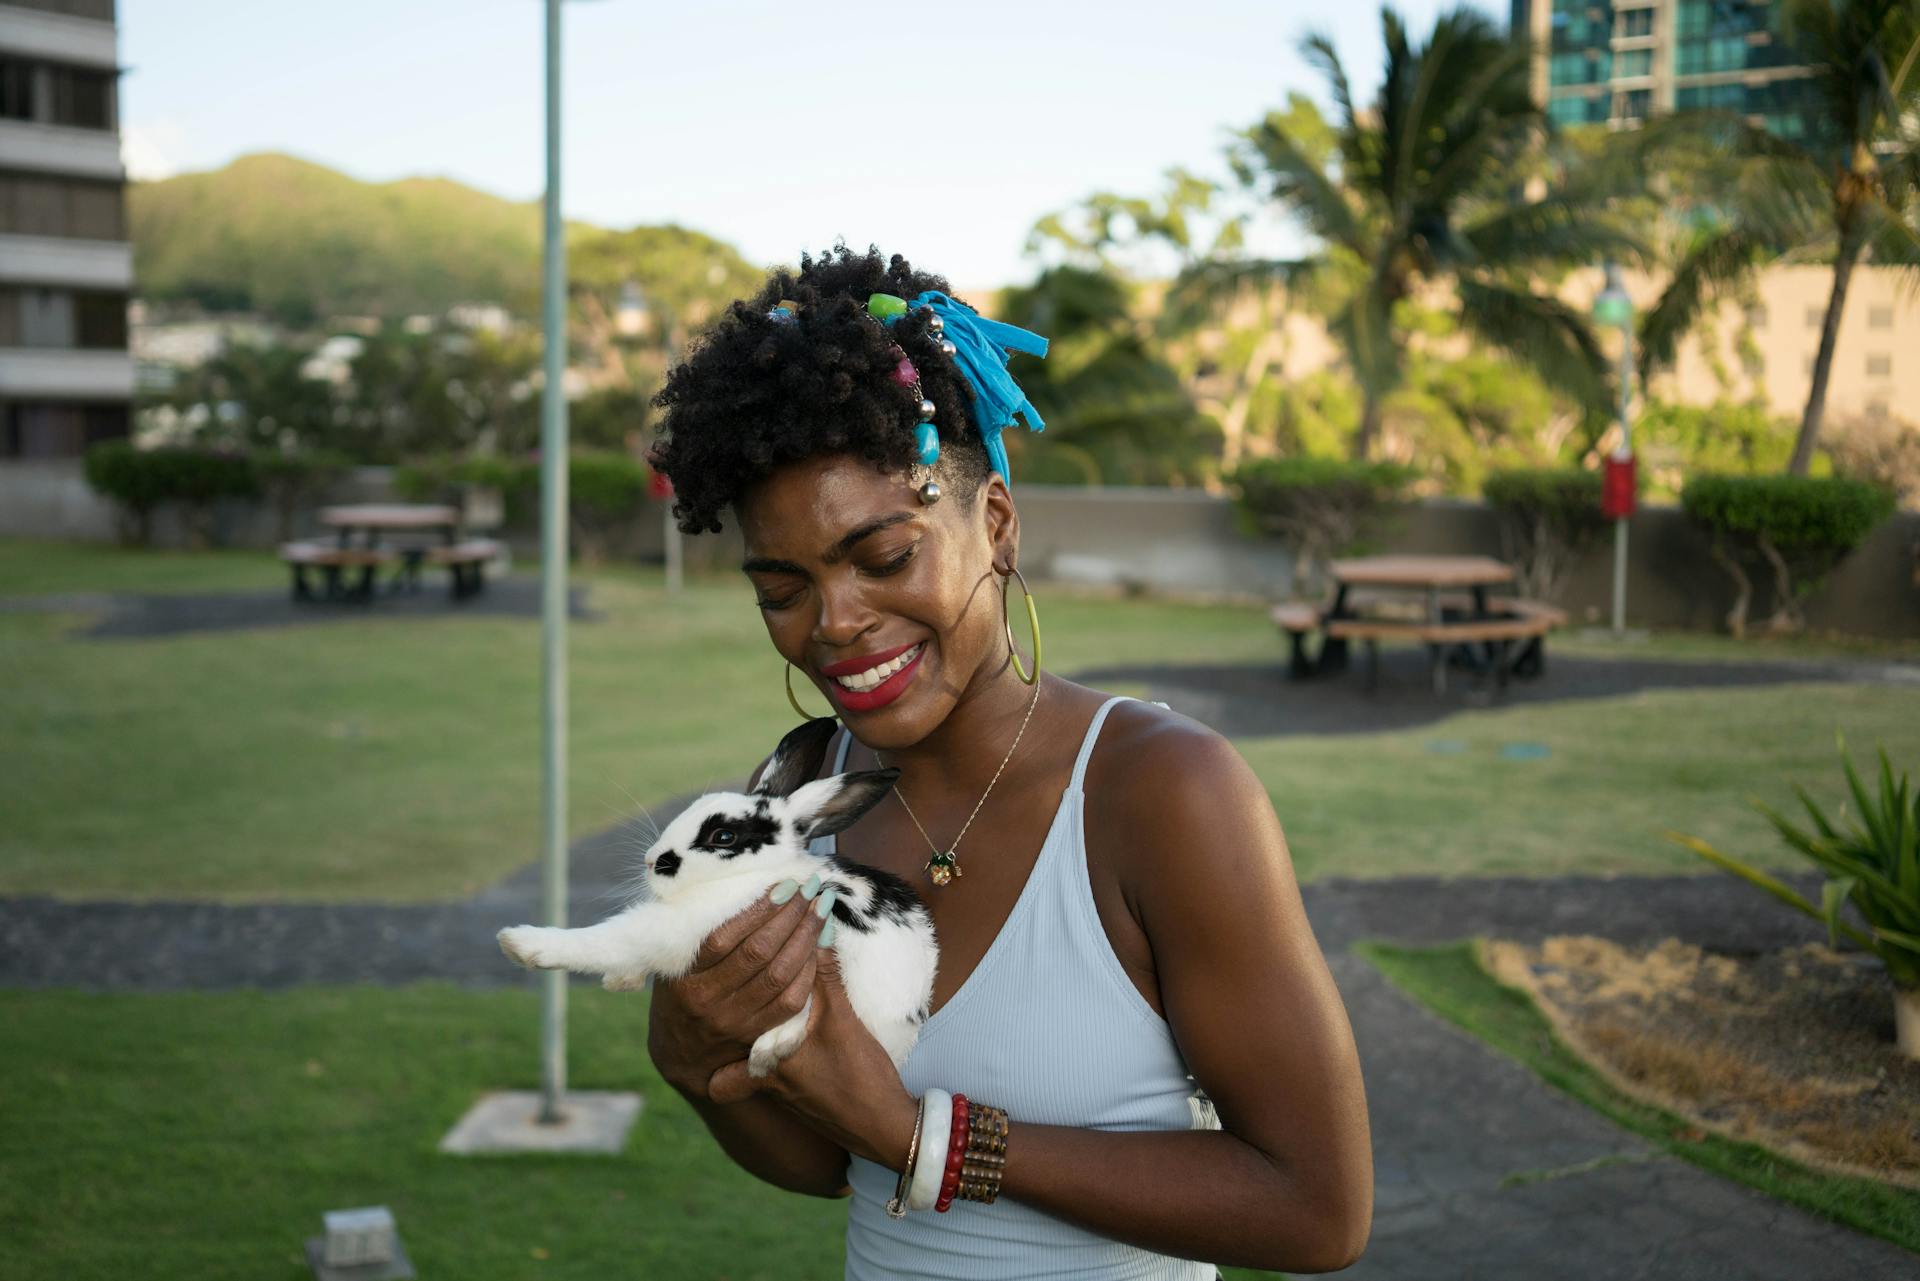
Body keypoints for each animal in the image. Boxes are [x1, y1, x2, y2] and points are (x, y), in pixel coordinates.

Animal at [499, 718, 940, 1075]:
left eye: (723, 836)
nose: (651, 861)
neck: (752, 874)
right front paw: (621, 980)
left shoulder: (676, 927)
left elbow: (608, 939)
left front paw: (520, 943)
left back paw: (769, 1051)